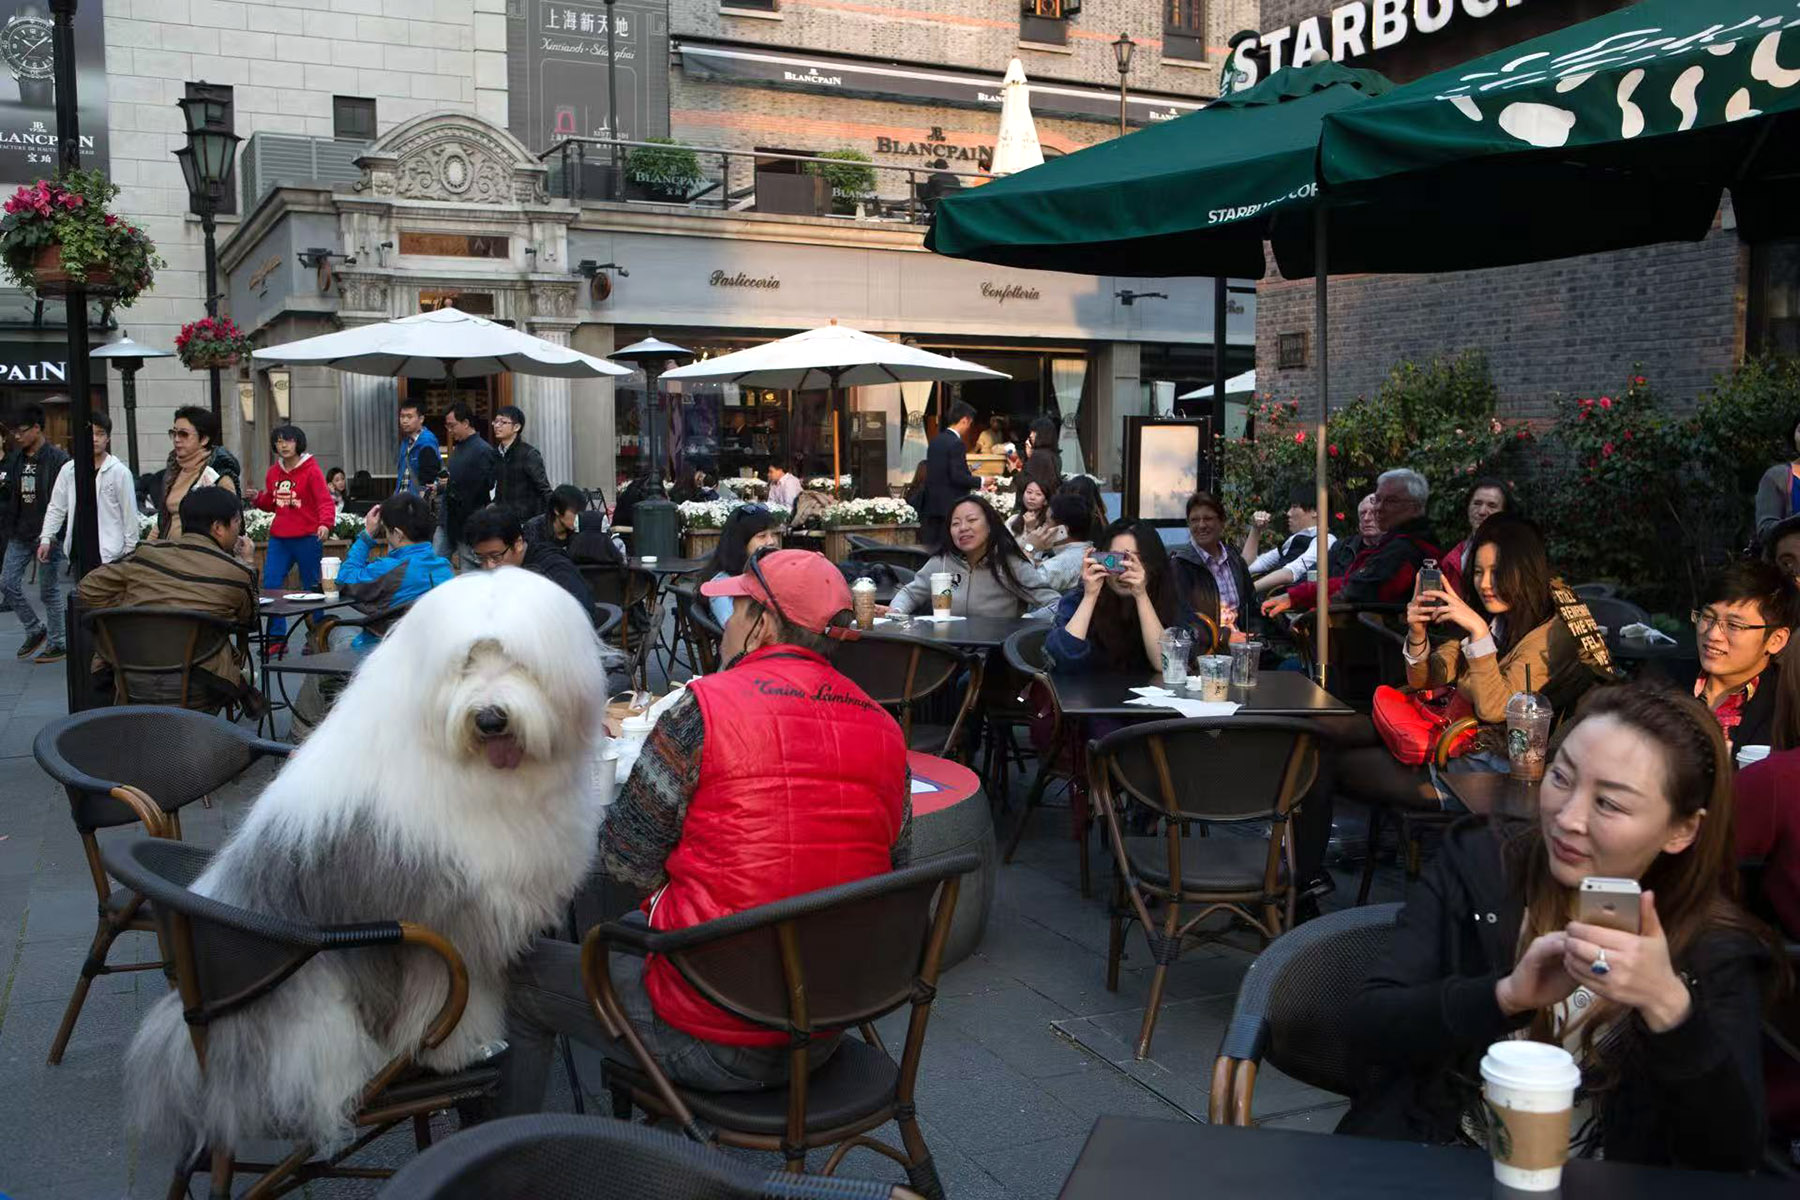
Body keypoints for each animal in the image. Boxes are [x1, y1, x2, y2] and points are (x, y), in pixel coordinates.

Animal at [125, 567, 608, 1155]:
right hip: (315, 1009)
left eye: (518, 661)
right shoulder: (440, 919)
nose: (491, 718)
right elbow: (451, 996)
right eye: (466, 663)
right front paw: (461, 1051)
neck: (467, 768)